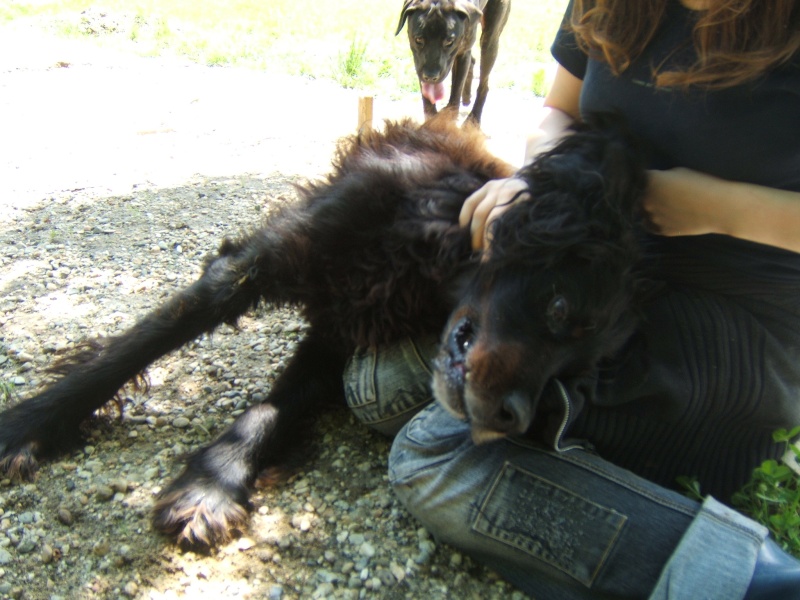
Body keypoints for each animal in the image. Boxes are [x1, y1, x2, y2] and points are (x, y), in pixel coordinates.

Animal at [0, 113, 648, 548]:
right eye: (558, 306)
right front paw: (28, 425)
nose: (516, 419)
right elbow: (137, 344)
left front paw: (211, 483)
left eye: (574, 376)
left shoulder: (337, 343)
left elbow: (273, 409)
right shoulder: (263, 262)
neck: (428, 249)